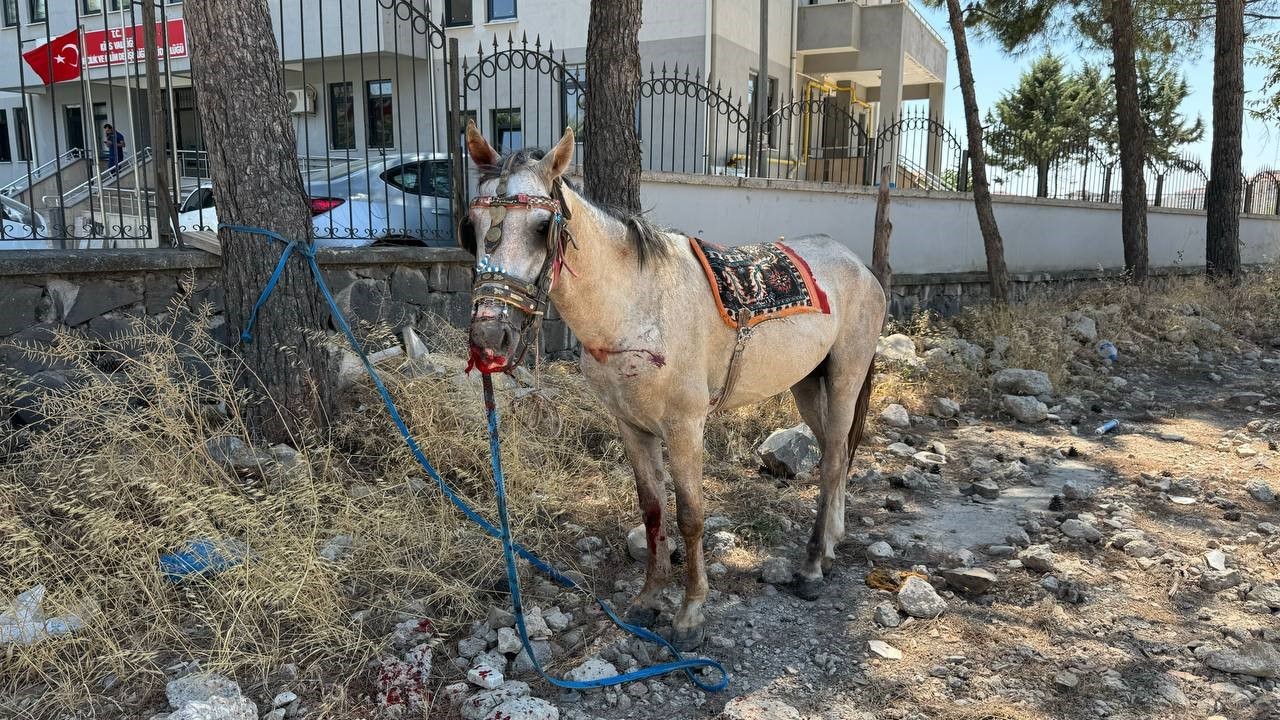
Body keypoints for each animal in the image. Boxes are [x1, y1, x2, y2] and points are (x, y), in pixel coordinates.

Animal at [465, 120, 885, 648]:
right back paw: (829, 545)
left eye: (543, 228)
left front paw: (690, 614)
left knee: (831, 464)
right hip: (808, 384)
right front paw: (648, 599)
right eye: (472, 226)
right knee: (837, 452)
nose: (489, 337)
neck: (637, 305)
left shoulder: (685, 427)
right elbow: (652, 510)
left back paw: (810, 567)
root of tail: (861, 266)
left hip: (847, 375)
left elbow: (689, 515)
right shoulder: (632, 426)